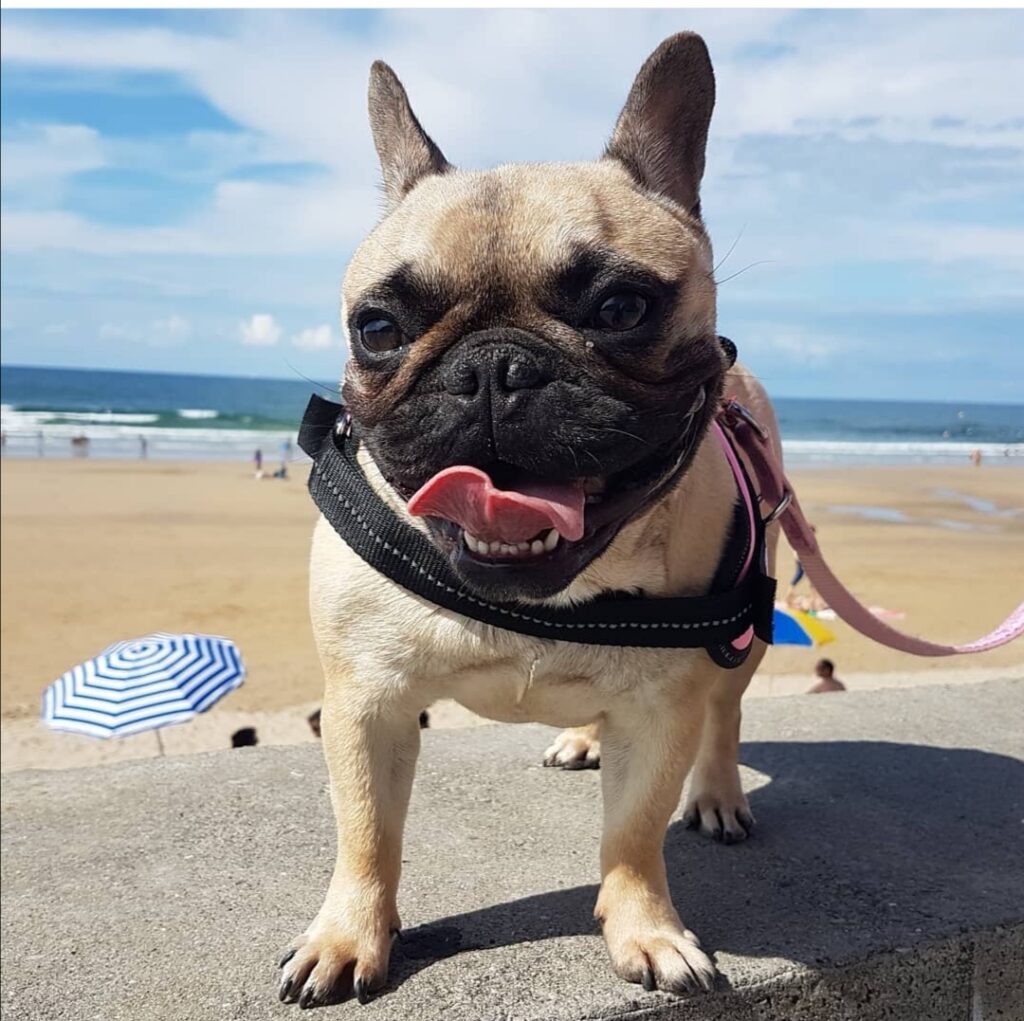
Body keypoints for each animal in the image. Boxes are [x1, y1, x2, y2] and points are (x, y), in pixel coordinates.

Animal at [280, 29, 782, 1003]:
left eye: (621, 308)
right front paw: (348, 934)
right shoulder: (366, 701)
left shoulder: (663, 706)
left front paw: (647, 929)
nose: (492, 368)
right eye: (378, 328)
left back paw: (716, 793)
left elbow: (633, 832)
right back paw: (584, 735)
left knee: (724, 716)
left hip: (743, 632)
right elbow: (366, 830)